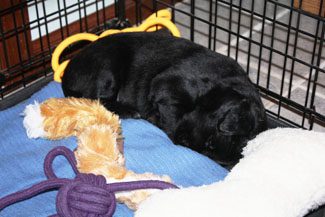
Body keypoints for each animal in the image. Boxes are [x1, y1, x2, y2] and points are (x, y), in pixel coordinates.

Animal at [62, 30, 268, 166]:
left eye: (208, 151)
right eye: (210, 141)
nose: (183, 142)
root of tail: (66, 74)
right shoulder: (167, 84)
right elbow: (172, 116)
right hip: (107, 68)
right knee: (95, 99)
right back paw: (130, 110)